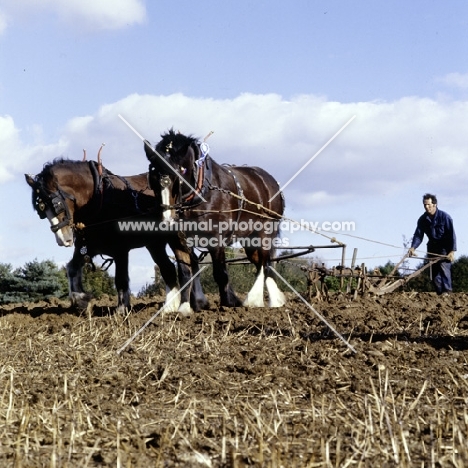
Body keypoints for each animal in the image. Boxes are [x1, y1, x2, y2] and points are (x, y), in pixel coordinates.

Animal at [24, 155, 207, 312]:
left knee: (187, 264)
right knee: (170, 268)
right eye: (41, 211)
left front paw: (121, 309)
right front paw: (82, 300)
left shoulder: (120, 250)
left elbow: (121, 278)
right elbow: (72, 269)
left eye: (56, 204)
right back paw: (177, 305)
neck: (99, 200)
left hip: (176, 239)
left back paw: (190, 303)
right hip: (154, 244)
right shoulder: (87, 247)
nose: (63, 239)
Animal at [144, 128, 288, 312]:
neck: (201, 194)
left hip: (266, 230)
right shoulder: (178, 241)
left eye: (180, 173)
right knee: (261, 263)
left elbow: (220, 273)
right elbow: (185, 273)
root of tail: (270, 181)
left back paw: (258, 299)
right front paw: (185, 307)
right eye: (153, 176)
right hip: (249, 238)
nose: (168, 220)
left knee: (264, 262)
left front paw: (229, 303)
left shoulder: (216, 240)